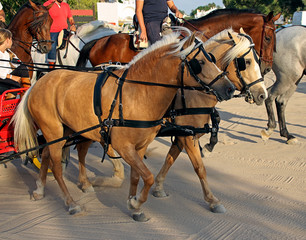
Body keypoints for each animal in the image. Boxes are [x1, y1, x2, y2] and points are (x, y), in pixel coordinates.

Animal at [13, 28, 235, 221]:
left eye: (212, 58)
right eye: (199, 62)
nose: (229, 88)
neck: (137, 93)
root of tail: (38, 83)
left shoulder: (142, 145)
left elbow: (138, 176)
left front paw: (134, 205)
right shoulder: (124, 146)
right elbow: (149, 176)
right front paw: (136, 202)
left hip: (66, 130)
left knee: (48, 155)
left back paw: (40, 189)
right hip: (54, 131)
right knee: (57, 166)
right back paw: (71, 203)